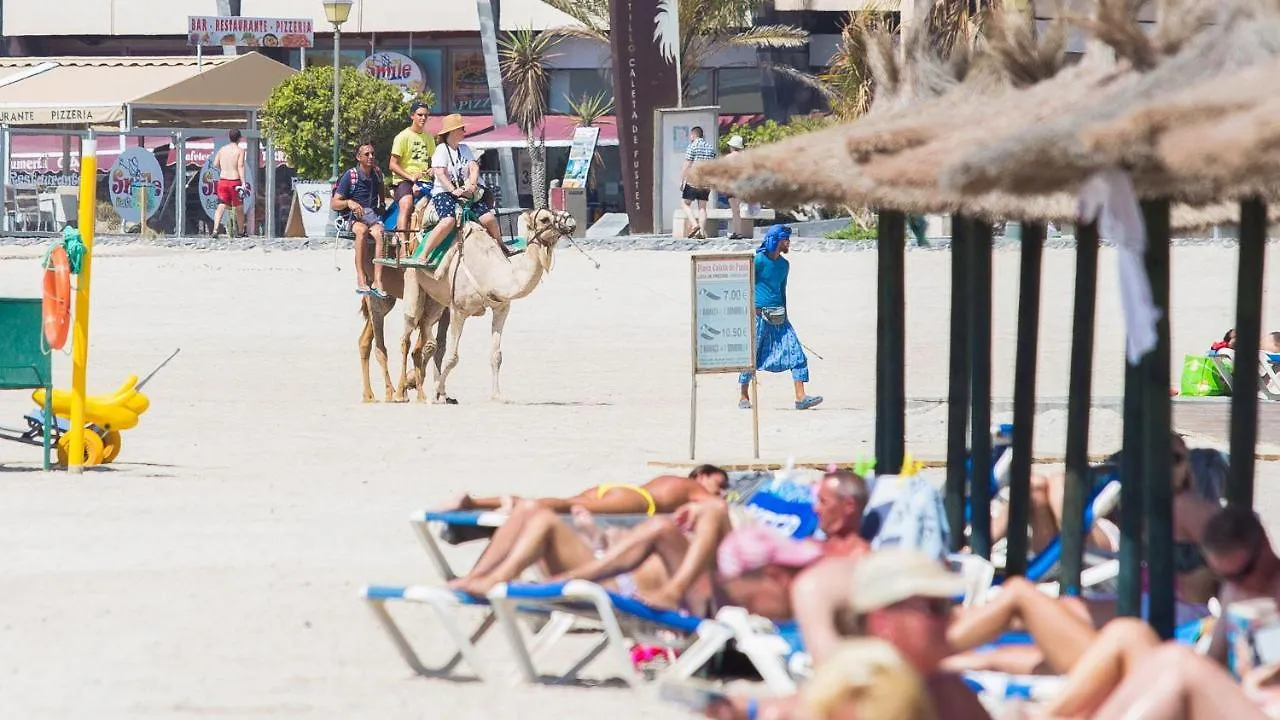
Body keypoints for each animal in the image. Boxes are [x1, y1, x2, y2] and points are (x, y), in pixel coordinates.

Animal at [394, 204, 576, 399]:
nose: (571, 221)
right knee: (407, 335)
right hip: (412, 281)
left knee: (426, 327)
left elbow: (496, 355)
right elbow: (452, 357)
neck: (492, 273)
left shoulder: (502, 308)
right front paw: (437, 391)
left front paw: (497, 395)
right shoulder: (458, 310)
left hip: (437, 300)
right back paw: (400, 394)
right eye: (544, 219)